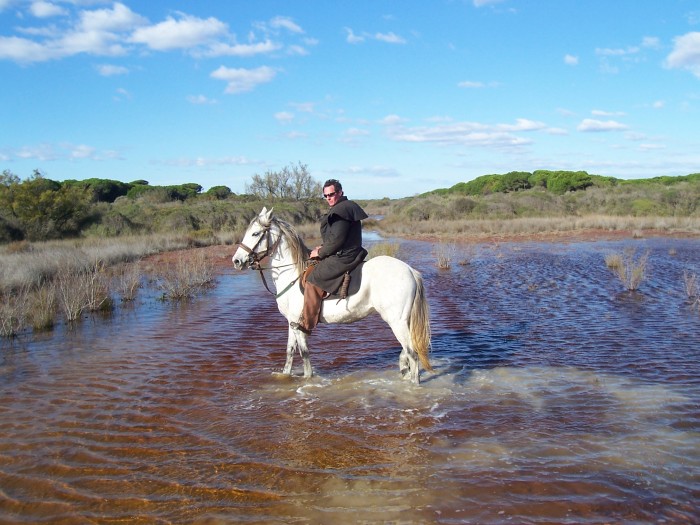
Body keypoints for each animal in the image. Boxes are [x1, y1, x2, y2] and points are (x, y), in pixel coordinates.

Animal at [231, 207, 432, 382]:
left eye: (255, 234)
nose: (236, 261)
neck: (292, 273)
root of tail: (410, 270)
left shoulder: (299, 324)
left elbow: (304, 355)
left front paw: (307, 380)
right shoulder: (291, 322)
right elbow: (289, 352)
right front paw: (285, 376)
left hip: (397, 322)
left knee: (413, 354)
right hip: (403, 322)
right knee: (407, 352)